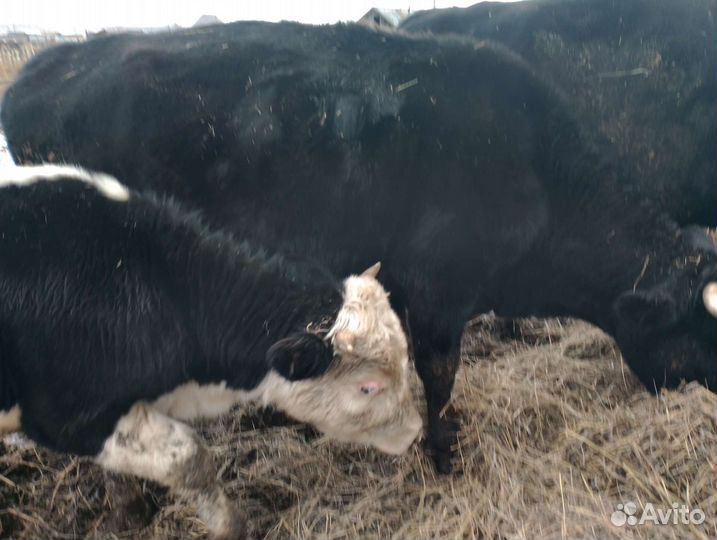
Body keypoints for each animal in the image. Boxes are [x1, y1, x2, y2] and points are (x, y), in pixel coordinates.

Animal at [0, 164, 422, 539]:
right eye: (368, 387)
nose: (417, 431)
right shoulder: (71, 416)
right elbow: (190, 459)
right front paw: (230, 527)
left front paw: (127, 512)